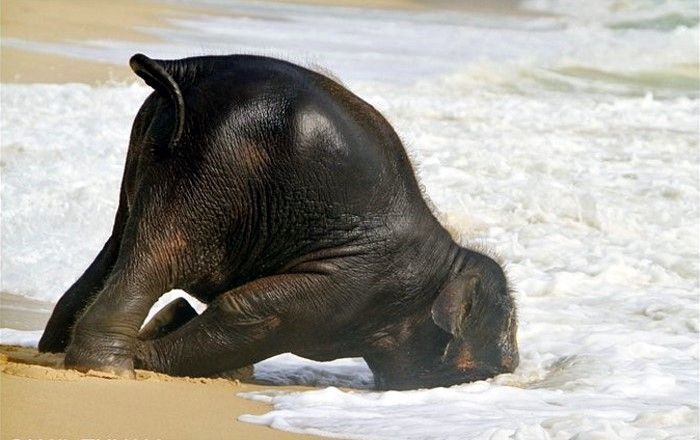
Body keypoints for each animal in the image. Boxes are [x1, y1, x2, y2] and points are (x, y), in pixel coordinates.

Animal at [39, 54, 520, 388]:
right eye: (493, 370)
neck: (447, 259)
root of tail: (188, 70)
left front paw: (172, 328)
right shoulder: (356, 283)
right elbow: (252, 313)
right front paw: (151, 349)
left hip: (153, 148)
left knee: (118, 244)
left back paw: (56, 352)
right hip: (215, 168)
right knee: (161, 255)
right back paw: (110, 369)